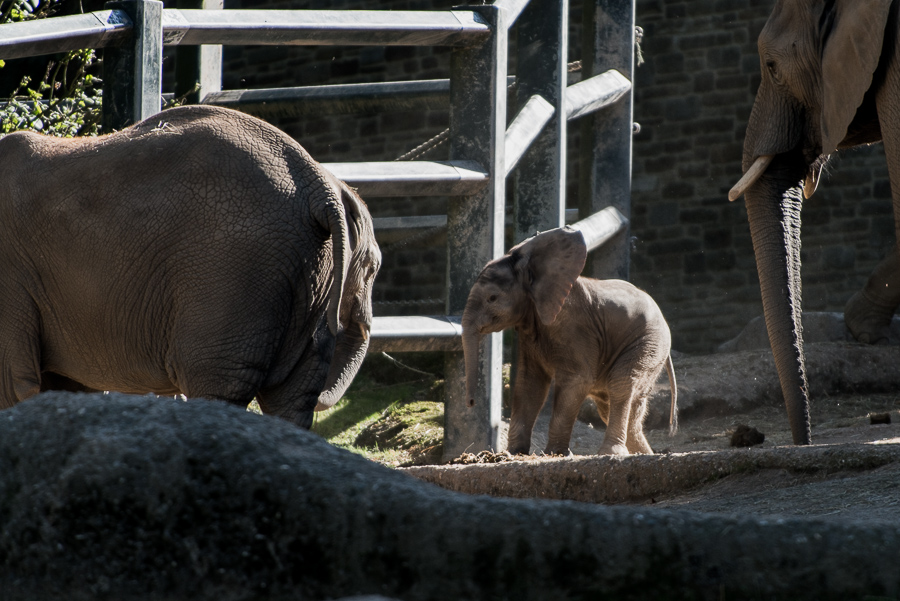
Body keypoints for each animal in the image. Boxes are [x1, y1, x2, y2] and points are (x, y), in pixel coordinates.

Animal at [464, 226, 676, 454]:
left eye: (492, 298)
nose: (471, 402)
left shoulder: (574, 327)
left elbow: (577, 380)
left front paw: (554, 453)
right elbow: (529, 383)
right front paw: (514, 453)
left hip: (648, 341)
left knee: (621, 385)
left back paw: (611, 453)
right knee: (615, 406)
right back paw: (640, 454)